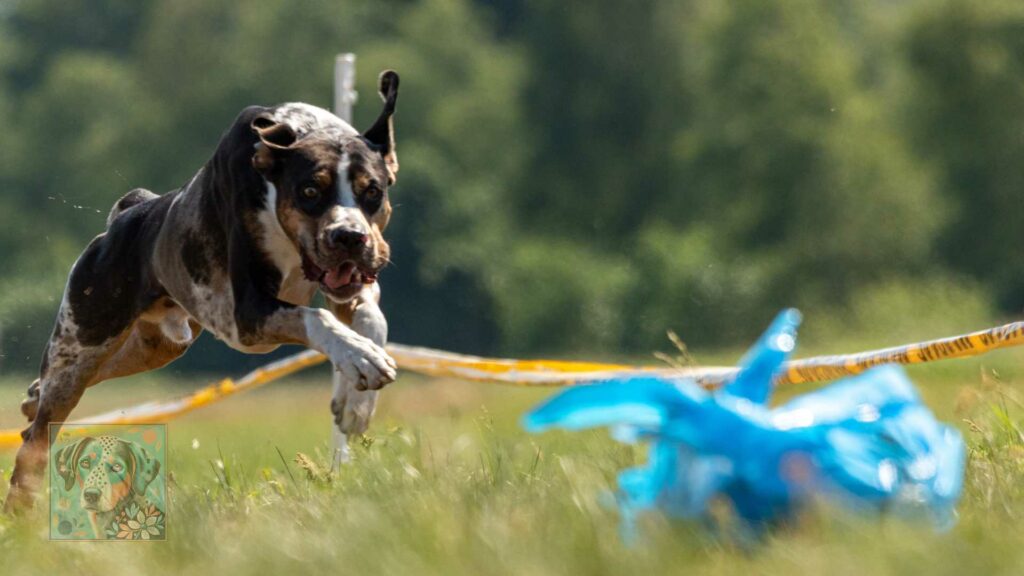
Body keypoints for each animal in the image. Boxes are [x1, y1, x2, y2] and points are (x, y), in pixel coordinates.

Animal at [4, 70, 403, 510]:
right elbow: (318, 316)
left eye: (373, 191)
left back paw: (33, 395)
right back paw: (21, 506)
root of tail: (130, 212)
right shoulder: (250, 314)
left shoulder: (349, 287)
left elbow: (372, 319)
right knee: (37, 439)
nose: (349, 236)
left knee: (100, 370)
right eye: (310, 192)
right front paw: (361, 360)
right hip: (82, 341)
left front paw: (356, 399)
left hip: (156, 345)